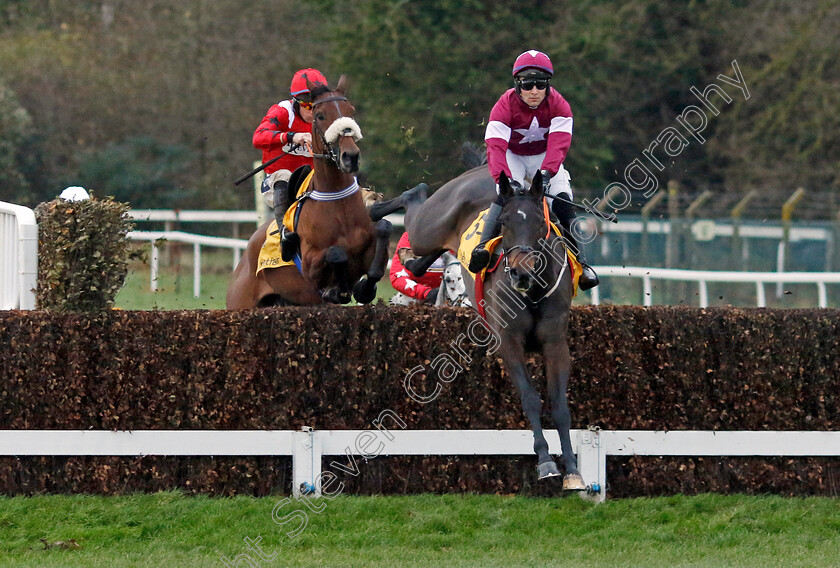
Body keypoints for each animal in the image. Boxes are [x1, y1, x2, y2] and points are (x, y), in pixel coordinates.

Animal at [226, 76, 394, 308]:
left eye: (351, 112)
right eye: (320, 115)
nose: (350, 157)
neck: (337, 201)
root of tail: (245, 254)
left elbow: (383, 231)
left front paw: (363, 288)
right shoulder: (310, 267)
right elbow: (336, 253)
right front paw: (337, 290)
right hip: (241, 301)